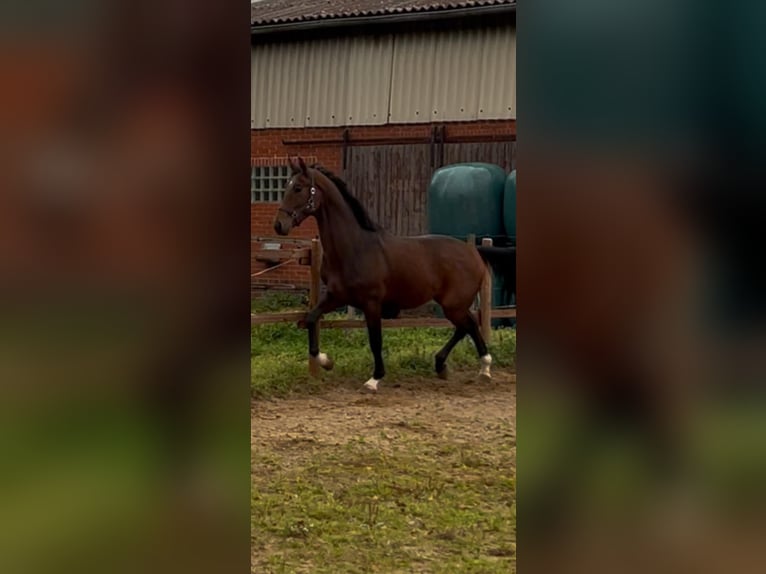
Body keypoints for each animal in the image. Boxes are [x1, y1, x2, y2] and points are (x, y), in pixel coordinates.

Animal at [272, 155, 496, 394]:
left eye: (297, 188)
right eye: (286, 186)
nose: (279, 225)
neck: (355, 248)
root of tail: (473, 251)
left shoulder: (371, 303)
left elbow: (375, 340)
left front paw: (374, 379)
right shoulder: (335, 296)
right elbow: (311, 319)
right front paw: (325, 361)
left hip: (454, 304)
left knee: (467, 325)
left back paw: (482, 367)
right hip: (453, 304)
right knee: (466, 326)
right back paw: (452, 366)